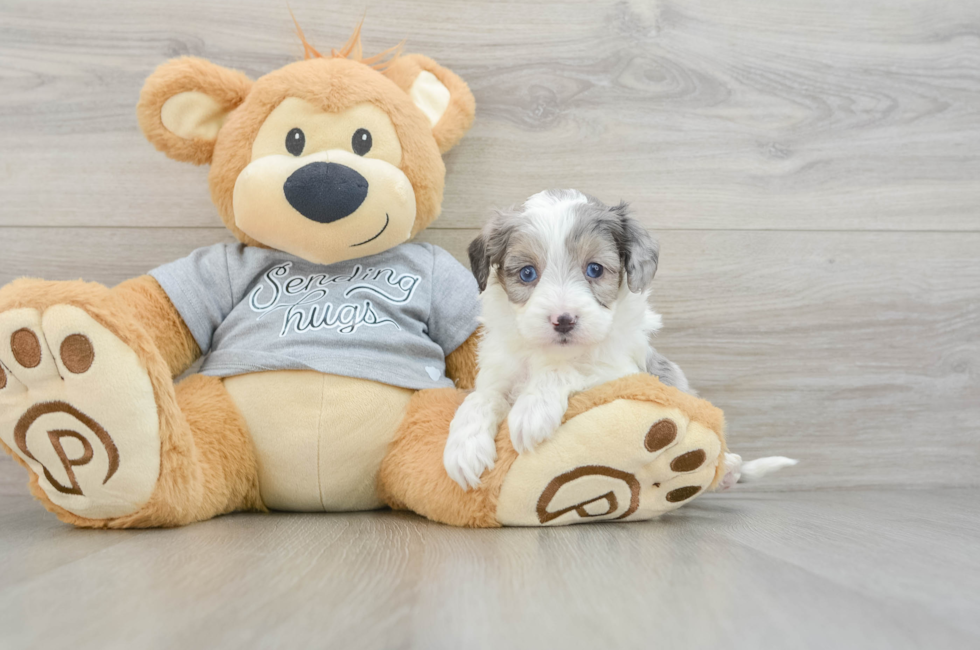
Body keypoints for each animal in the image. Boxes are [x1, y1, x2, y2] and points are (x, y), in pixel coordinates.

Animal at [444, 190, 688, 488]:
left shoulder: (624, 373)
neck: (550, 352)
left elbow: (569, 368)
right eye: (527, 273)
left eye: (594, 269)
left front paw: (533, 409)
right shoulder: (498, 374)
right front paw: (464, 447)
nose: (563, 320)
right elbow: (481, 399)